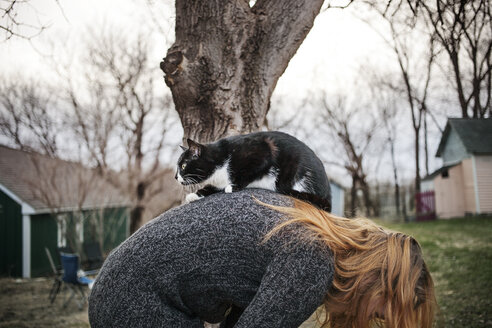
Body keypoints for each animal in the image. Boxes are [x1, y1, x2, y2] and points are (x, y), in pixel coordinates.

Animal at [175, 129, 332, 211]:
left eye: (183, 166)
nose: (176, 177)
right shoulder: (218, 181)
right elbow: (209, 187)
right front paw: (195, 194)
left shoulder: (263, 151)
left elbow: (250, 172)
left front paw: (233, 186)